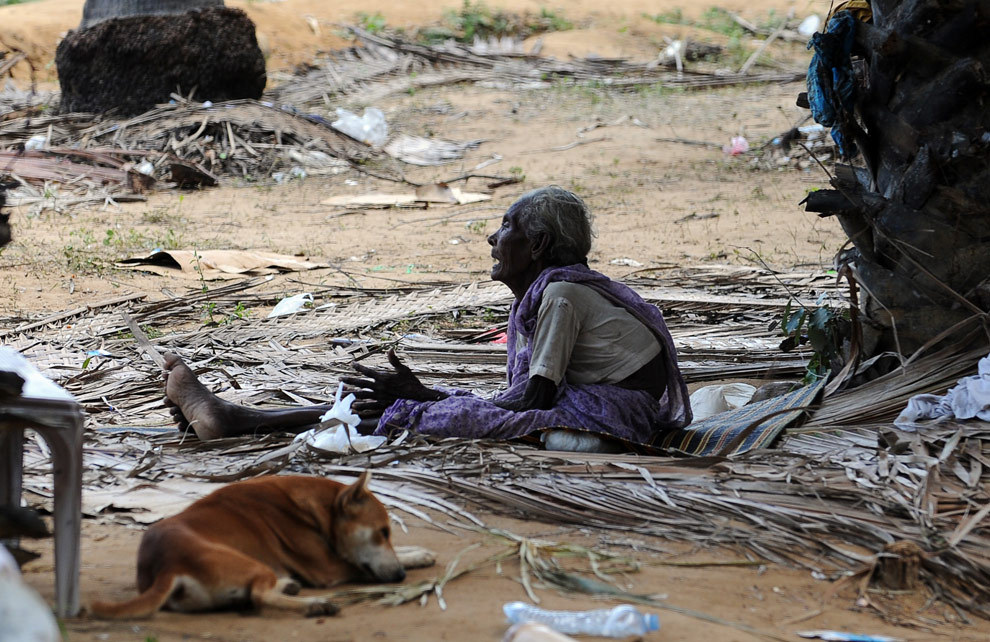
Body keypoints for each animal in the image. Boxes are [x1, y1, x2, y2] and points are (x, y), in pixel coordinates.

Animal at [88, 470, 434, 616]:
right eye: (382, 532)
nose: (401, 577)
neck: (320, 509)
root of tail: (167, 568)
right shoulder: (328, 568)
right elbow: (356, 566)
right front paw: (412, 559)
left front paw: (417, 553)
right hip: (249, 563)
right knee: (258, 596)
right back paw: (313, 604)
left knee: (254, 595)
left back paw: (289, 586)